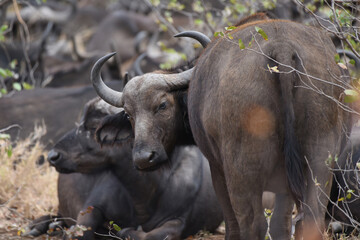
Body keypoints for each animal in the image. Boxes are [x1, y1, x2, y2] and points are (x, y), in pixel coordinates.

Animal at [44, 98, 222, 240]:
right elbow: (80, 233)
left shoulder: (179, 220)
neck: (143, 195)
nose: (52, 156)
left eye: (94, 126)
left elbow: (153, 235)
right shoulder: (90, 208)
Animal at [91, 13, 352, 240]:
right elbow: (282, 224)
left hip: (242, 170)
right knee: (310, 219)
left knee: (252, 224)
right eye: (128, 113)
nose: (144, 158)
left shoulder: (217, 167)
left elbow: (233, 224)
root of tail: (282, 47)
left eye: (162, 105)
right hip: (320, 159)